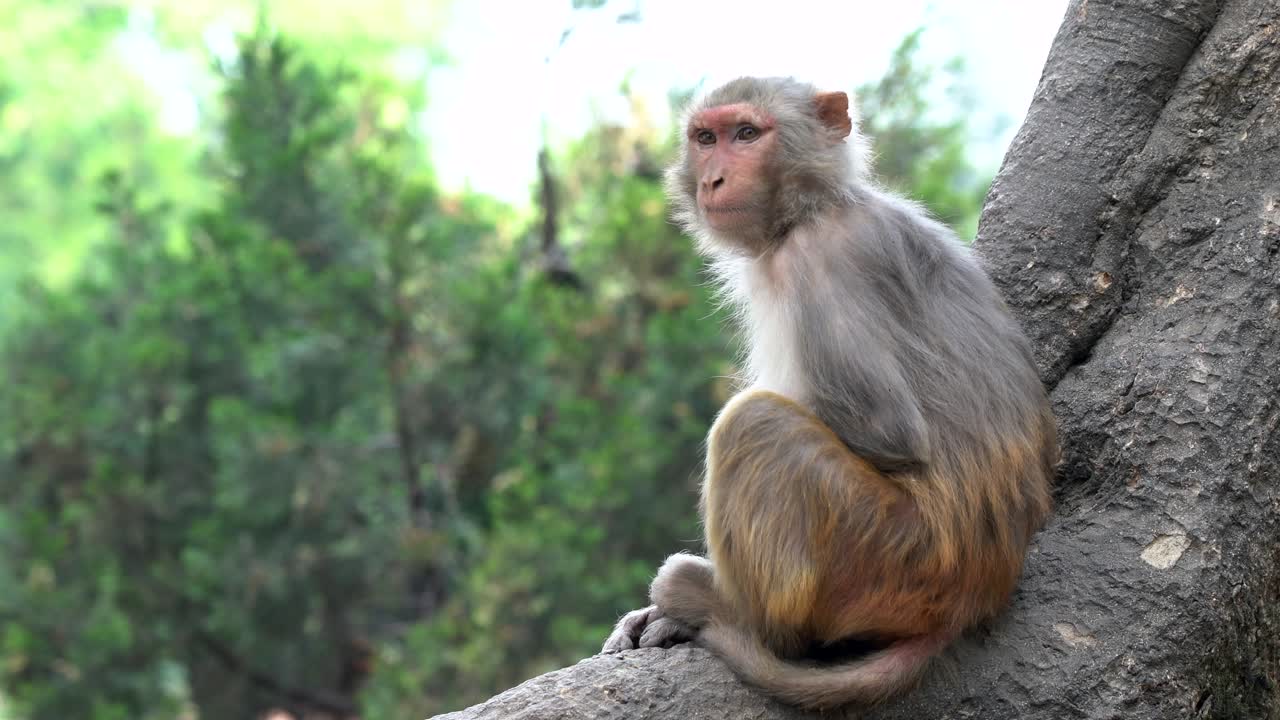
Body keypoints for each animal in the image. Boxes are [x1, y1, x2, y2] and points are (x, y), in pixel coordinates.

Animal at [601, 77, 1057, 709]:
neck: (811, 209)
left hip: (885, 555)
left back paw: (733, 613)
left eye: (747, 134)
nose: (713, 178)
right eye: (706, 138)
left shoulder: (820, 261)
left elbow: (887, 431)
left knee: (756, 424)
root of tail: (977, 592)